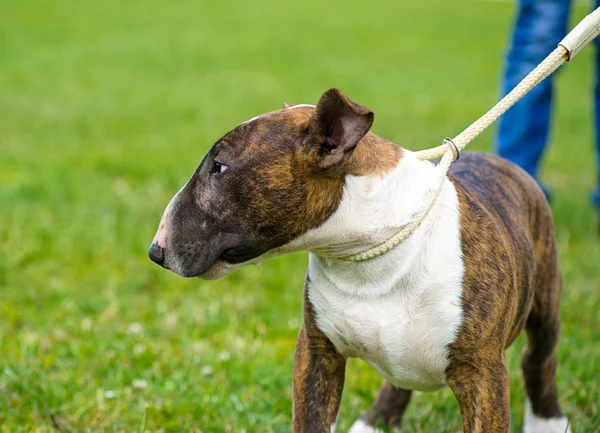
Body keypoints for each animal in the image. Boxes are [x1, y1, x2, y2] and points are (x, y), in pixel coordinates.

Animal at [148, 88, 568, 432]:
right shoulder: (317, 352)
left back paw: (548, 422)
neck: (369, 259)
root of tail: (504, 163)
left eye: (219, 166)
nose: (155, 251)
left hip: (544, 299)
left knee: (539, 359)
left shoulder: (482, 374)